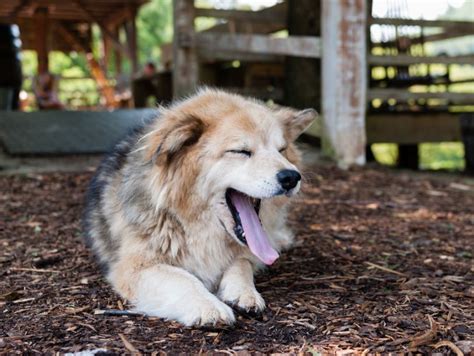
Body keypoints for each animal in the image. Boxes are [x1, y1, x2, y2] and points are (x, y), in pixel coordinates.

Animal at [83, 88, 316, 326]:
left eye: (281, 150)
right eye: (240, 151)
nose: (291, 177)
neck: (185, 222)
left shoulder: (247, 255)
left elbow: (242, 264)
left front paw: (244, 292)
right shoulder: (134, 267)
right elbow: (182, 279)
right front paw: (209, 305)